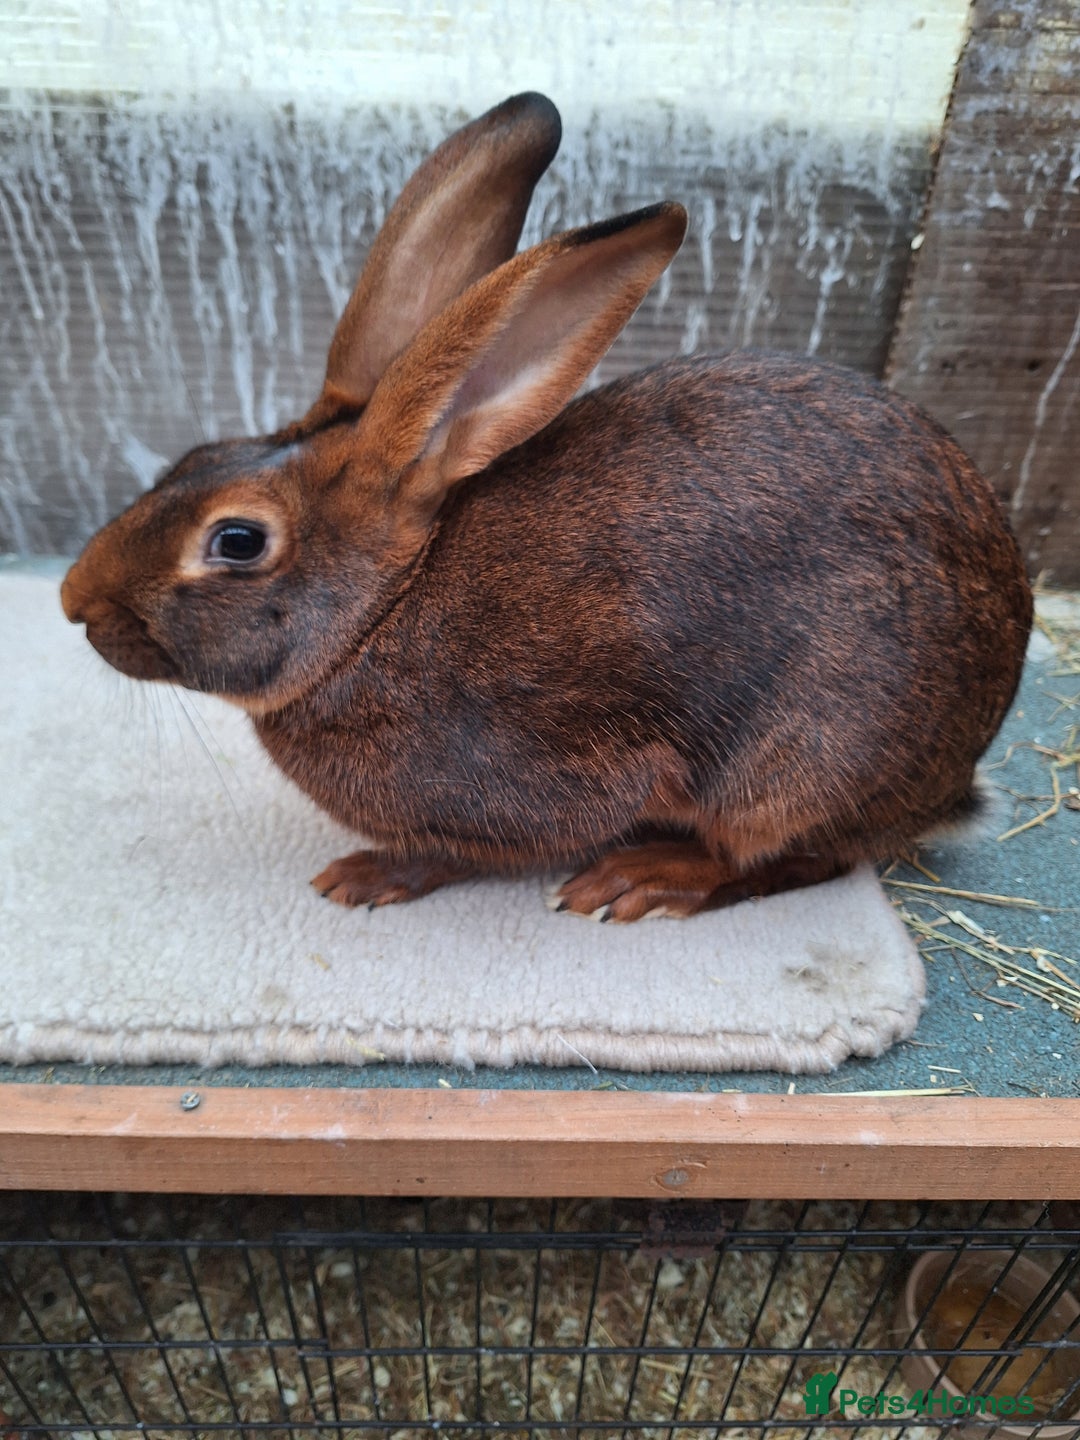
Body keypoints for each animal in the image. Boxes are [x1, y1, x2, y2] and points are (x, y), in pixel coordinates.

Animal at [61, 93, 1033, 922]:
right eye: (192, 459)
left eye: (236, 540)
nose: (75, 602)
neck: (381, 613)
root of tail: (958, 776)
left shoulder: (559, 782)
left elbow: (461, 851)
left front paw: (366, 876)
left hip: (804, 759)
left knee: (791, 853)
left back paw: (643, 879)